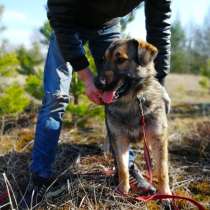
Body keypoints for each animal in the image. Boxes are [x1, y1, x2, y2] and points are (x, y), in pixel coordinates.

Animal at [95, 39, 171, 195]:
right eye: (104, 59)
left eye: (120, 60)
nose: (97, 83)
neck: (130, 102)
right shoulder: (119, 138)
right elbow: (123, 167)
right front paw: (122, 190)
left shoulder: (158, 138)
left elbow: (162, 170)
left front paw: (165, 194)